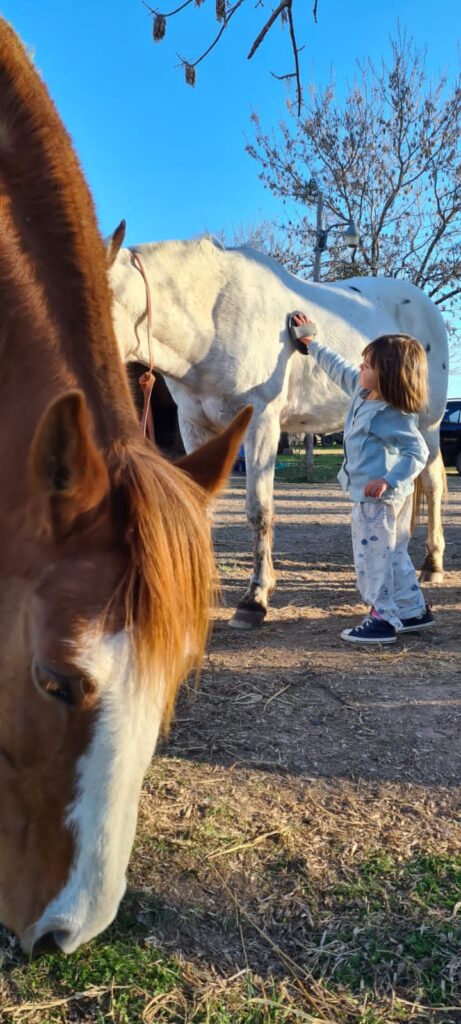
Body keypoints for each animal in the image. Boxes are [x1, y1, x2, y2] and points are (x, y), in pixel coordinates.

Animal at [107, 226, 449, 628]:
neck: (214, 319)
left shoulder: (261, 422)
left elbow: (259, 509)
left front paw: (254, 599)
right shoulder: (193, 424)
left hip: (427, 423)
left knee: (431, 483)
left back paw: (432, 565)